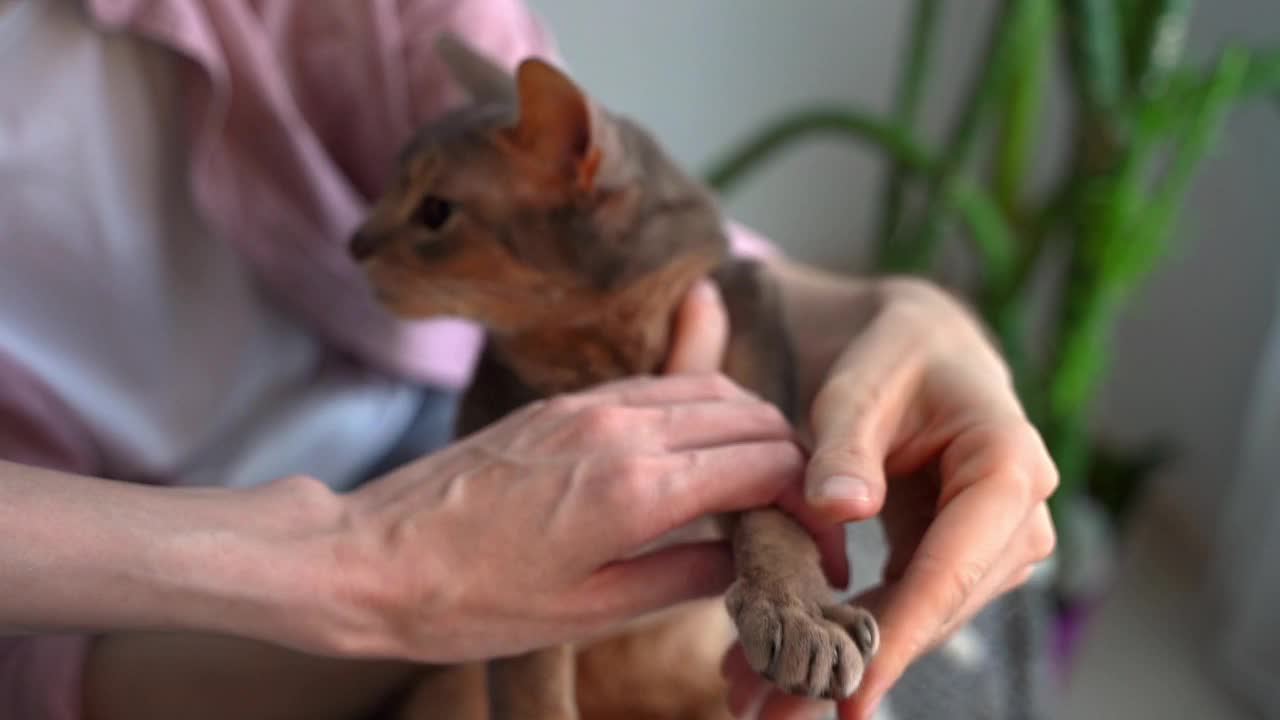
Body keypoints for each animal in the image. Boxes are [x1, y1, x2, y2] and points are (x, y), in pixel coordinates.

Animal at [345, 33, 875, 717]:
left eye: (435, 211)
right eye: (388, 189)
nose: (354, 242)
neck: (611, 351)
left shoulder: (756, 379)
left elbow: (776, 514)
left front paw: (801, 611)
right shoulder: (521, 591)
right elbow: (535, 696)